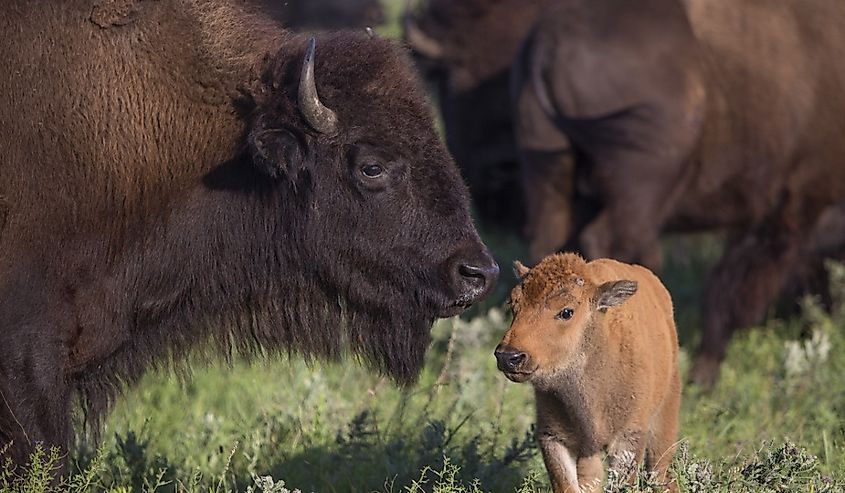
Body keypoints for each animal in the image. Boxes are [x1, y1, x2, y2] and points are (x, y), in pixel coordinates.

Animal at [494, 254, 680, 492]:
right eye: (513, 304)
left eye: (566, 312)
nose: (509, 356)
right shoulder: (555, 438)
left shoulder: (628, 439)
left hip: (665, 414)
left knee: (660, 471)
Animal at [512, 0, 844, 384]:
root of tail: (548, 41)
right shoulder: (791, 205)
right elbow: (735, 286)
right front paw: (705, 373)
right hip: (644, 182)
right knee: (613, 242)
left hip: (549, 171)